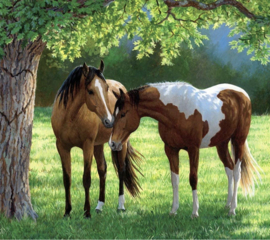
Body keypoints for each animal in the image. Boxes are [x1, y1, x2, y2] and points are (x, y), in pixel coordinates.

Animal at [51, 61, 142, 218]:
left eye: (106, 89)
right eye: (90, 91)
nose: (109, 121)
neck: (69, 117)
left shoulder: (87, 146)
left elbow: (86, 179)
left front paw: (86, 212)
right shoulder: (62, 147)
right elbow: (67, 179)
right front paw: (67, 212)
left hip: (121, 144)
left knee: (121, 169)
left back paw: (121, 206)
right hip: (98, 145)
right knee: (102, 169)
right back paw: (99, 206)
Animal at [108, 82, 260, 218]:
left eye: (123, 114)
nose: (112, 143)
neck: (178, 111)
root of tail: (243, 94)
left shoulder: (193, 149)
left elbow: (193, 178)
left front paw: (195, 213)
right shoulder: (171, 149)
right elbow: (174, 180)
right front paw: (173, 211)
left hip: (238, 140)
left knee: (237, 172)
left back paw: (232, 210)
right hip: (221, 144)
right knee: (229, 169)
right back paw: (227, 205)